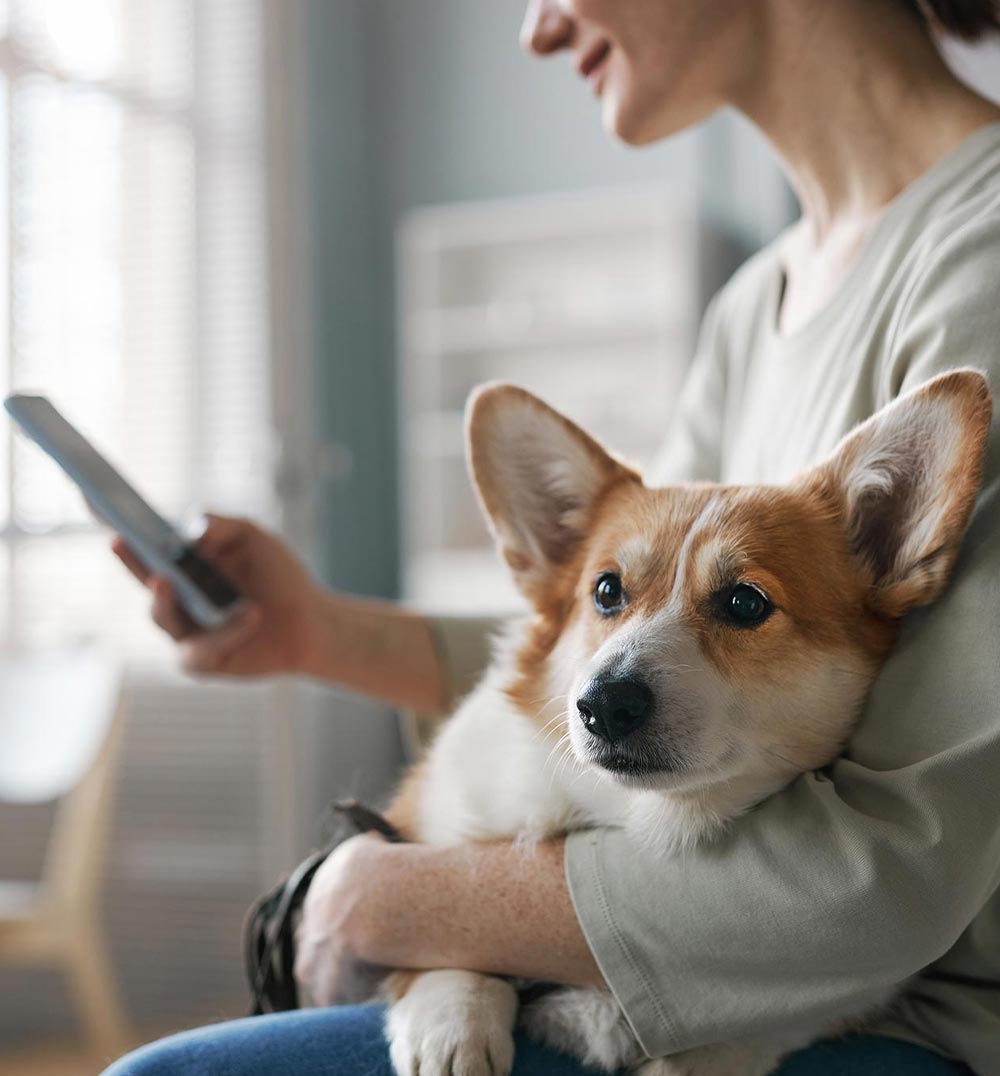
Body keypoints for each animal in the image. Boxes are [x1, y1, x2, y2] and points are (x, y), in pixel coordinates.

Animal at [378, 370, 986, 1076]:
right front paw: (454, 1021)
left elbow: (745, 1035)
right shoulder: (422, 826)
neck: (634, 817)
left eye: (745, 602)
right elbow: (441, 938)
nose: (601, 703)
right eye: (606, 591)